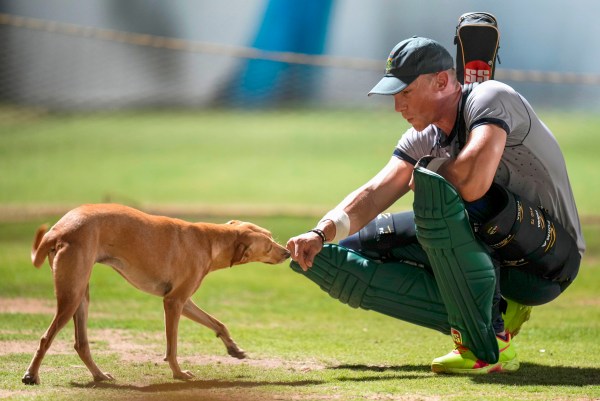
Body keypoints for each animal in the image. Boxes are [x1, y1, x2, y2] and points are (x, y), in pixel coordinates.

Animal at [21, 205, 288, 382]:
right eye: (268, 246)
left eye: (271, 236)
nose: (286, 252)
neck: (209, 240)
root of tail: (58, 229)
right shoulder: (173, 302)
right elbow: (172, 347)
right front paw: (178, 373)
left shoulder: (183, 301)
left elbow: (217, 323)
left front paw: (233, 348)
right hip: (71, 297)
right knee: (46, 338)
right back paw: (31, 375)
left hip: (81, 298)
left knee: (81, 344)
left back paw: (99, 375)